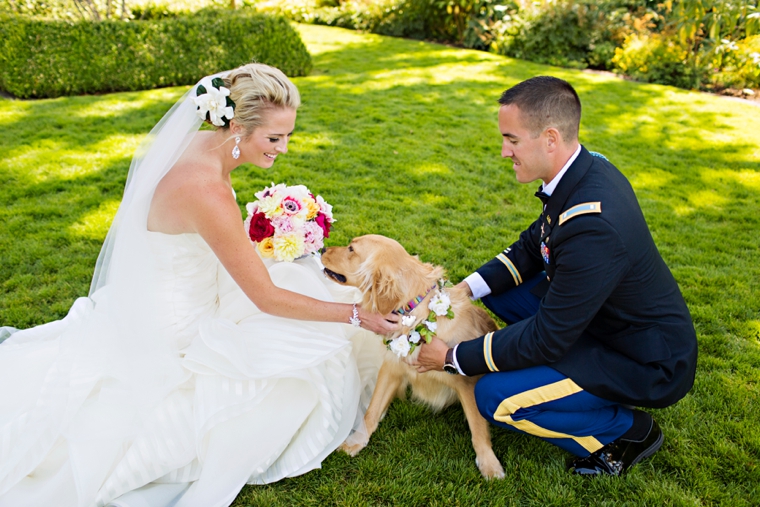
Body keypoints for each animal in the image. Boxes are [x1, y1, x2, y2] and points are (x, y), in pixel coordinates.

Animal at [320, 234, 504, 480]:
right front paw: (357, 441)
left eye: (351, 249)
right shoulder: (391, 368)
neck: (415, 315)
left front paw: (489, 464)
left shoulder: (468, 383)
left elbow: (478, 428)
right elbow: (372, 410)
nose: (322, 249)